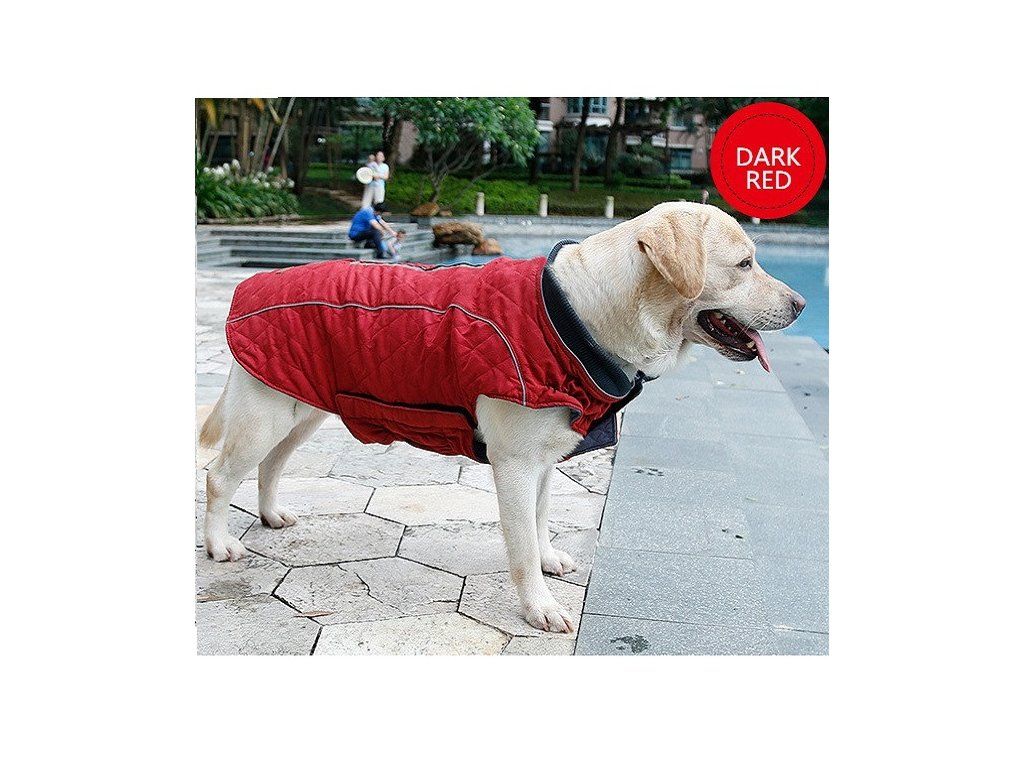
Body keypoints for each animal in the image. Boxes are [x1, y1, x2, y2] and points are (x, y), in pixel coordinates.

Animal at [199, 202, 805, 634]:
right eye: (745, 264)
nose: (800, 305)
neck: (581, 315)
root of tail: (250, 284)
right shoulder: (513, 463)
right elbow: (520, 546)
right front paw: (538, 606)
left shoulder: (543, 461)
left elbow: (539, 523)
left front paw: (549, 557)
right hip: (264, 415)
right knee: (220, 475)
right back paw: (219, 544)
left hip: (301, 409)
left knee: (271, 465)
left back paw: (272, 515)